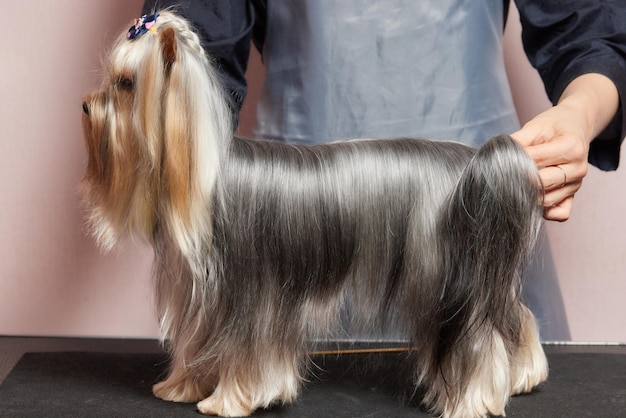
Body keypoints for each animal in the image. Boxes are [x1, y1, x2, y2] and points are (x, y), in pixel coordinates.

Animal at [80, 11, 548, 416]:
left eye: (125, 83)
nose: (86, 105)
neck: (199, 176)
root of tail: (474, 162)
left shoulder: (250, 297)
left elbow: (246, 354)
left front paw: (227, 401)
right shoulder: (202, 294)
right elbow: (197, 343)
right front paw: (181, 387)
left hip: (445, 276)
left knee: (475, 337)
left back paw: (472, 400)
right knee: (512, 314)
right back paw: (523, 375)